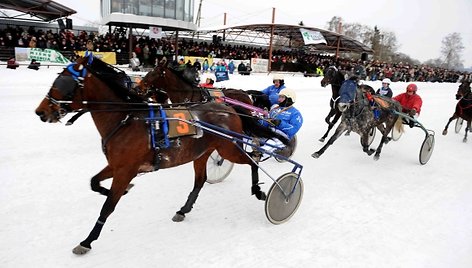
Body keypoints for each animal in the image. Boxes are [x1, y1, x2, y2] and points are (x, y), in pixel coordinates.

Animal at [36, 56, 280, 253]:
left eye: (62, 83)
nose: (41, 111)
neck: (126, 119)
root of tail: (230, 108)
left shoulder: (125, 170)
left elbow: (108, 207)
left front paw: (87, 241)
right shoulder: (116, 166)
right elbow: (94, 182)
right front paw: (118, 190)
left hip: (228, 148)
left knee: (252, 161)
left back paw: (258, 189)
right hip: (202, 153)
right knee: (200, 180)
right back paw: (184, 209)